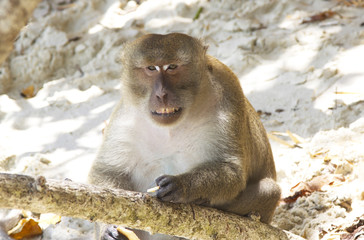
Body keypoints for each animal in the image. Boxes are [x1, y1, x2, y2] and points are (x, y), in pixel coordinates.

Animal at [88, 32, 282, 240]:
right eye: (151, 68)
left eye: (172, 67)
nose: (161, 94)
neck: (170, 129)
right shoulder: (125, 119)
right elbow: (108, 171)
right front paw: (109, 228)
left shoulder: (227, 99)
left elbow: (231, 171)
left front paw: (182, 185)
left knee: (270, 191)